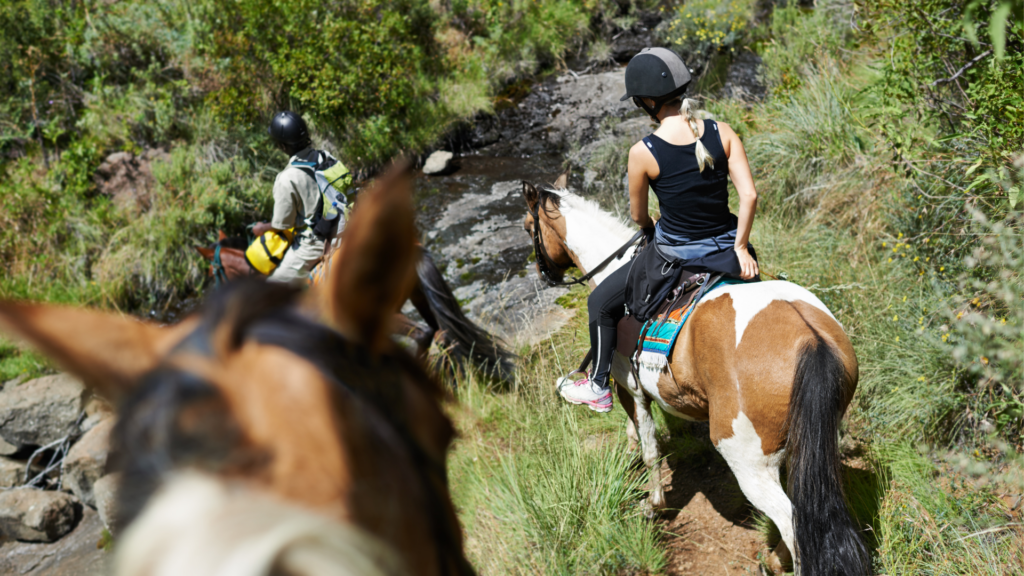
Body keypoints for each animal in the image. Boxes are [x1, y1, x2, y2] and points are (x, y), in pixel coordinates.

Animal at [524, 182, 868, 573]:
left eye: (528, 227)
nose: (543, 274)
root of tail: (811, 338)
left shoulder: (631, 389)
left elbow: (650, 450)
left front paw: (652, 504)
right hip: (806, 446)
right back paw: (774, 557)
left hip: (749, 461)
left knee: (793, 525)